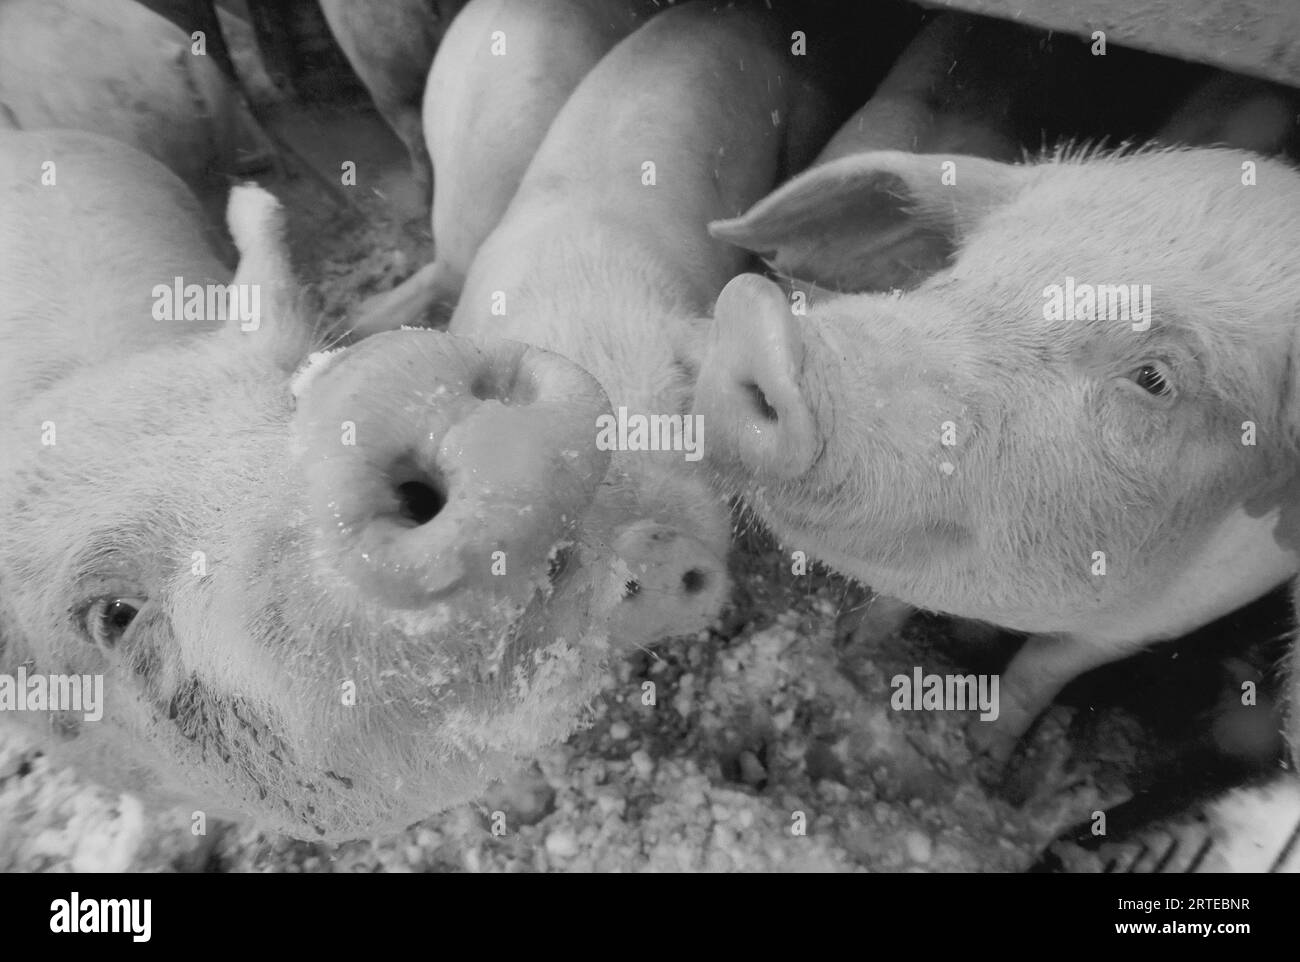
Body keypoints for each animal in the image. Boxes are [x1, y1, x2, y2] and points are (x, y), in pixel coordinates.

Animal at [696, 144, 1300, 759]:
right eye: (959, 270)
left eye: (1153, 379)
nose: (756, 324)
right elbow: (894, 599)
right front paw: (856, 644)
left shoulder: (1173, 614)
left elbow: (1044, 665)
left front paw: (984, 752)